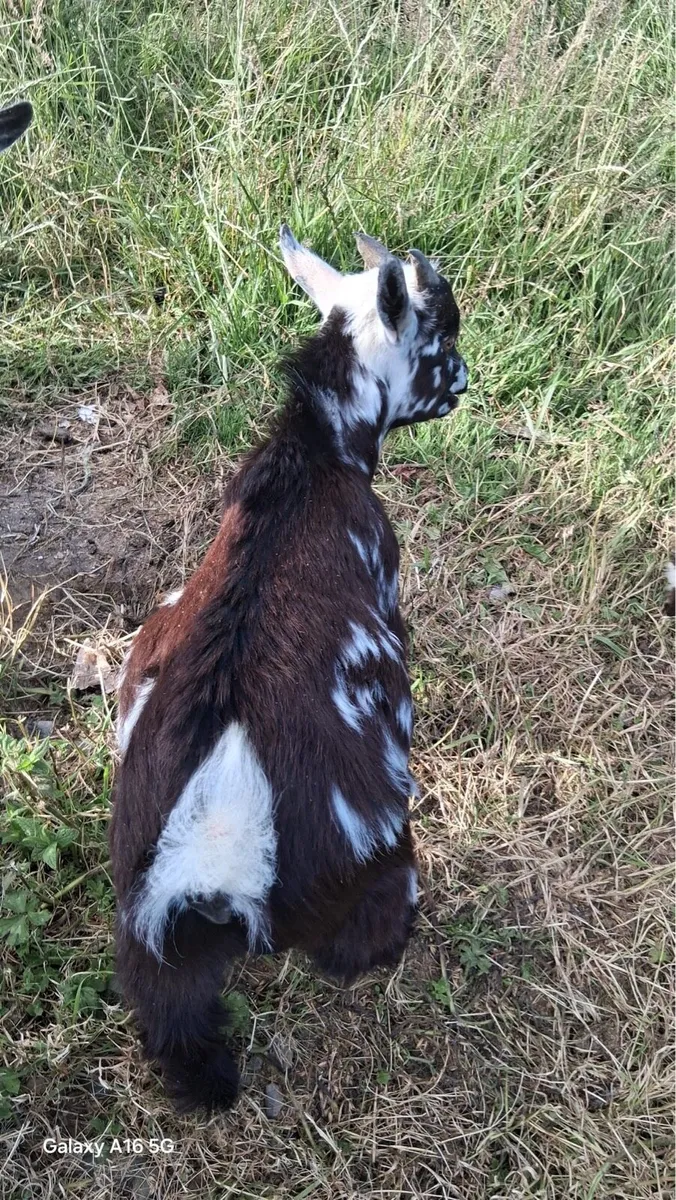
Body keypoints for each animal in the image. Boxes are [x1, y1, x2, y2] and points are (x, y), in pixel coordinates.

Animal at [110, 227, 469, 1112]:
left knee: (178, 1028)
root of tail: (212, 852)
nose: (464, 384)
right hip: (376, 867)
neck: (313, 458)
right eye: (441, 338)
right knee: (359, 944)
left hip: (147, 943)